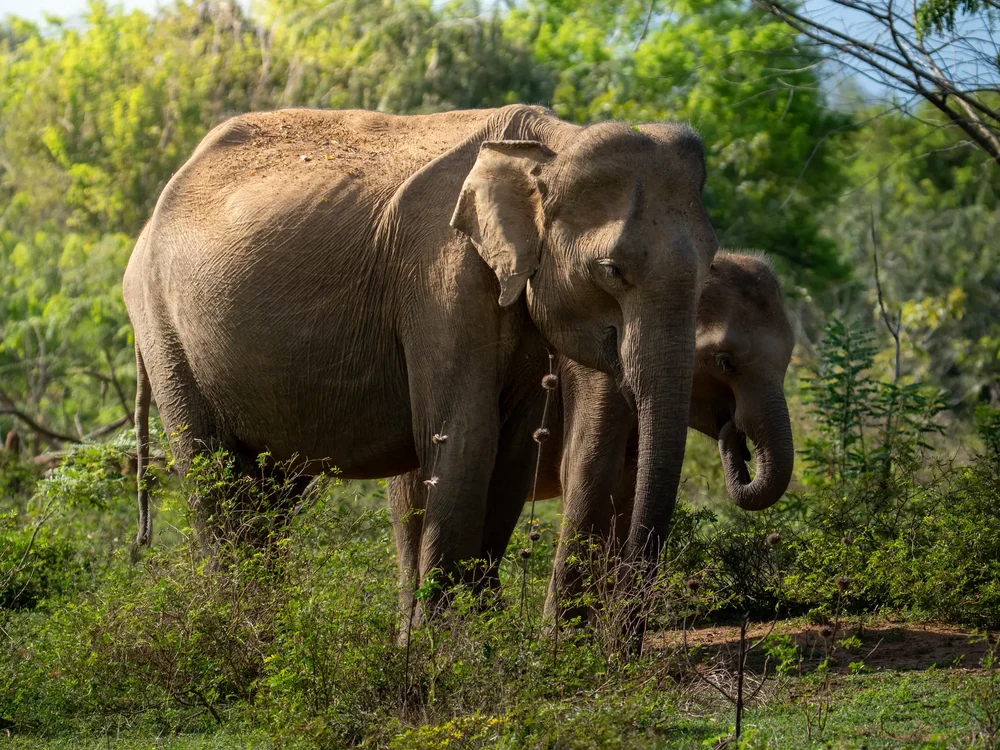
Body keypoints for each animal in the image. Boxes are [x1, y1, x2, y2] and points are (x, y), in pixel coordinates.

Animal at [123, 105, 718, 611]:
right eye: (612, 270)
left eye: (711, 265)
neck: (552, 142)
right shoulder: (438, 275)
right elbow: (466, 435)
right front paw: (444, 655)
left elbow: (510, 451)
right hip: (163, 329)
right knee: (214, 476)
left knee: (271, 495)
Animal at [388, 251, 794, 625]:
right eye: (724, 361)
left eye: (790, 359)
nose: (735, 436)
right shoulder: (595, 372)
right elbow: (592, 470)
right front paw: (563, 639)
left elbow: (628, 485)